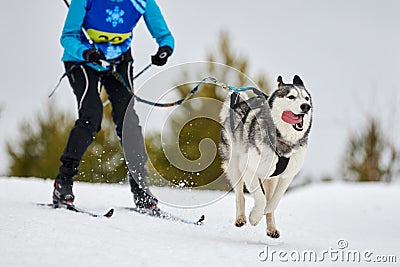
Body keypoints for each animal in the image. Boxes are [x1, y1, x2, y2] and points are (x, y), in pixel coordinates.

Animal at [219, 75, 312, 239]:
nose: (306, 106)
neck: (282, 141)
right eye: (291, 97)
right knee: (240, 195)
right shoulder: (248, 168)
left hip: (270, 178)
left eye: (306, 98)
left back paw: (271, 227)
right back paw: (241, 218)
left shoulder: (287, 176)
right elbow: (260, 198)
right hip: (234, 167)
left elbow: (274, 200)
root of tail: (237, 105)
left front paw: (267, 212)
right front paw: (254, 217)